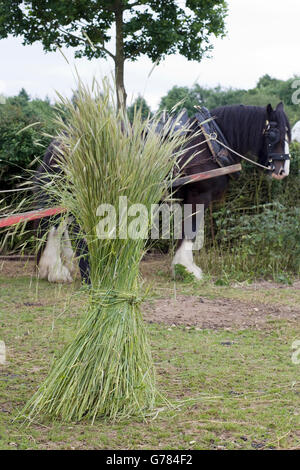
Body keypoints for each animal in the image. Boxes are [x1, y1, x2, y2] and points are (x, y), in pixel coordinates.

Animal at [33, 103, 290, 282]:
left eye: (289, 134)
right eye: (273, 134)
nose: (283, 170)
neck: (208, 144)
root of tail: (59, 141)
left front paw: (182, 266)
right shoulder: (198, 195)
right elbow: (191, 230)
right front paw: (186, 268)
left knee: (62, 224)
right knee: (56, 225)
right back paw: (55, 270)